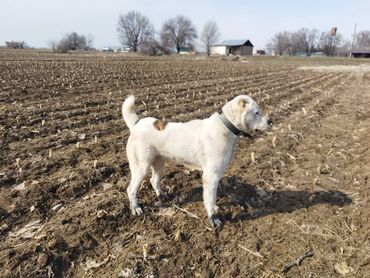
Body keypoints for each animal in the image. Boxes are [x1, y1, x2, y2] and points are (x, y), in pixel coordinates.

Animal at [123, 94, 270, 228]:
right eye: (256, 112)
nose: (271, 121)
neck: (226, 127)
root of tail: (136, 124)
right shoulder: (211, 176)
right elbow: (210, 199)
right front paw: (213, 219)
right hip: (142, 166)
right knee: (131, 189)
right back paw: (136, 208)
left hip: (159, 161)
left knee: (154, 180)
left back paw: (162, 196)